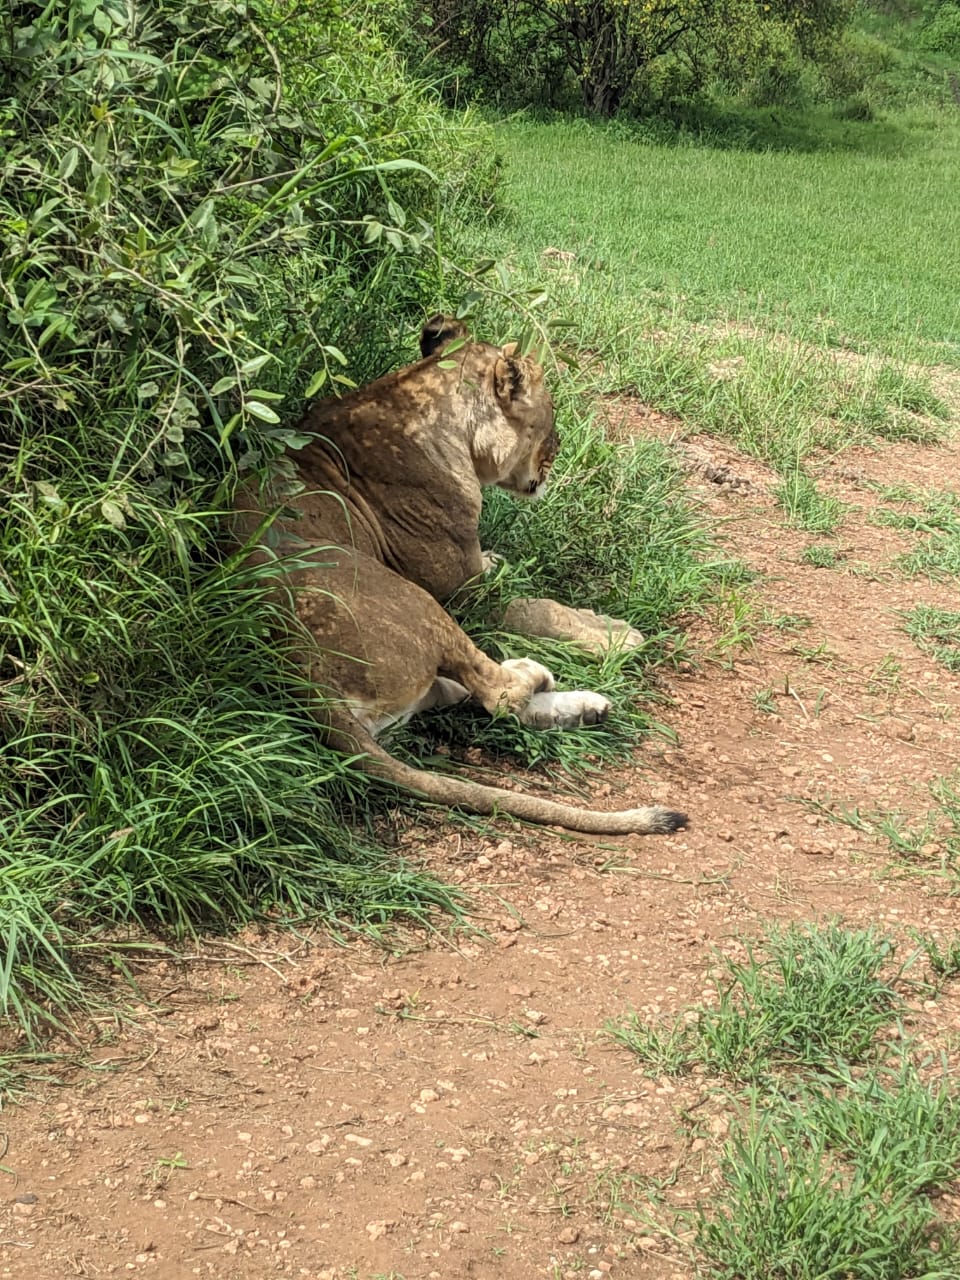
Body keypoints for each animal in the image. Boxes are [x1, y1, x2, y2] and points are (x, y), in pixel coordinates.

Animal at [232, 315, 687, 836]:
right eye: (552, 423)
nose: (561, 449)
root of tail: (296, 672)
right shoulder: (459, 590)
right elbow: (532, 608)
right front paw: (614, 633)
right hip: (417, 602)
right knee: (499, 693)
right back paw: (541, 677)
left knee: (471, 695)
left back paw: (584, 708)